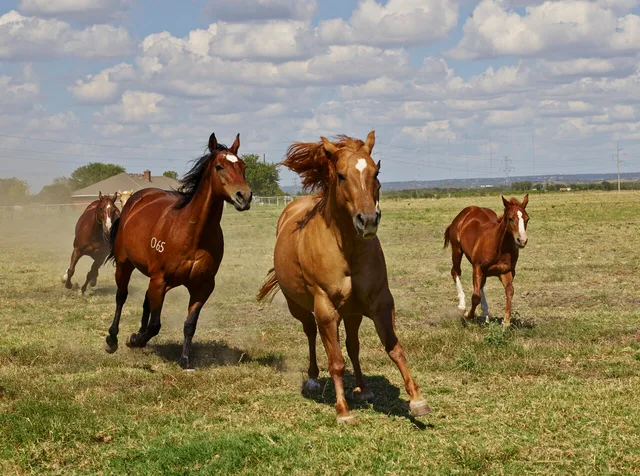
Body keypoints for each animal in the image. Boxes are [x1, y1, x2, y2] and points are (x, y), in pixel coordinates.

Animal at [104, 132, 252, 369]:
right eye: (219, 166)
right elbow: (155, 324)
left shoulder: (202, 286)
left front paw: (185, 360)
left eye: (243, 166)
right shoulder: (160, 280)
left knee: (146, 301)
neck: (192, 234)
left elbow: (189, 324)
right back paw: (113, 339)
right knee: (121, 297)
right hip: (125, 265)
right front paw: (135, 339)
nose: (244, 197)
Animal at [257, 131, 431, 424]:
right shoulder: (326, 308)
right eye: (340, 175)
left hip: (352, 313)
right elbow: (336, 361)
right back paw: (314, 380)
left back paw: (363, 388)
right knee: (311, 334)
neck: (346, 249)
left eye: (375, 171)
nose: (368, 220)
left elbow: (394, 348)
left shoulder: (380, 302)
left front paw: (417, 400)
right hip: (301, 308)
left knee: (353, 345)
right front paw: (343, 411)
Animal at [444, 195, 530, 327]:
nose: (522, 241)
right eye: (510, 218)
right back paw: (462, 306)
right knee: (455, 271)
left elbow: (510, 290)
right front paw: (467, 315)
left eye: (527, 219)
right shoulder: (477, 267)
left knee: (481, 285)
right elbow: (475, 296)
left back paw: (486, 314)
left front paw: (506, 322)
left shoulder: (506, 271)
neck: (499, 246)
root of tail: (467, 211)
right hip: (457, 250)